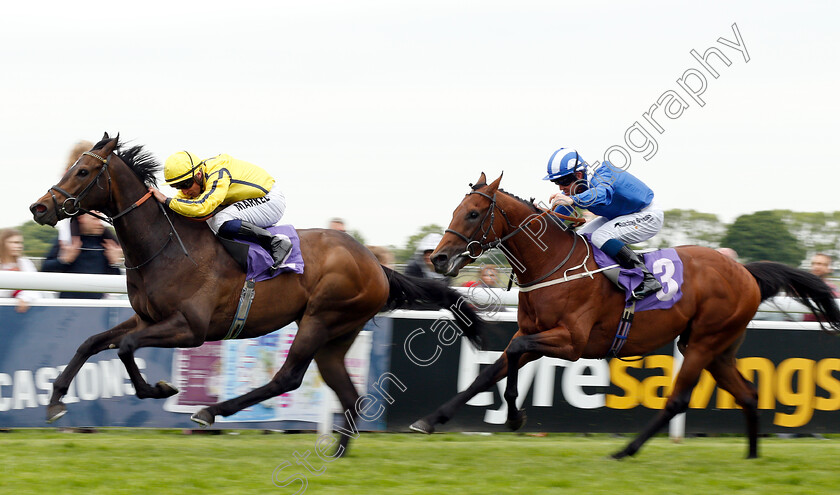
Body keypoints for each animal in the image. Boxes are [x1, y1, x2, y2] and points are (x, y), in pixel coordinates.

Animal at [29, 133, 486, 458]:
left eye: (83, 171)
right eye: (73, 166)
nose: (40, 208)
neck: (166, 246)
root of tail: (376, 264)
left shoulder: (190, 328)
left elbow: (125, 348)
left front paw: (159, 389)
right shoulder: (147, 318)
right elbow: (92, 342)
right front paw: (55, 402)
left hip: (321, 318)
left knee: (288, 377)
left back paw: (210, 411)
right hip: (336, 335)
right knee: (348, 394)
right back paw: (337, 450)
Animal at [412, 174, 840, 462]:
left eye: (472, 213)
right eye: (456, 210)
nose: (438, 258)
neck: (553, 264)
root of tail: (745, 271)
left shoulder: (571, 341)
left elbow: (514, 352)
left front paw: (515, 414)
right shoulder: (538, 333)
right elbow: (490, 371)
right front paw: (431, 420)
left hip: (703, 342)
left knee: (677, 400)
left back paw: (625, 450)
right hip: (718, 348)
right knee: (748, 394)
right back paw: (751, 457)